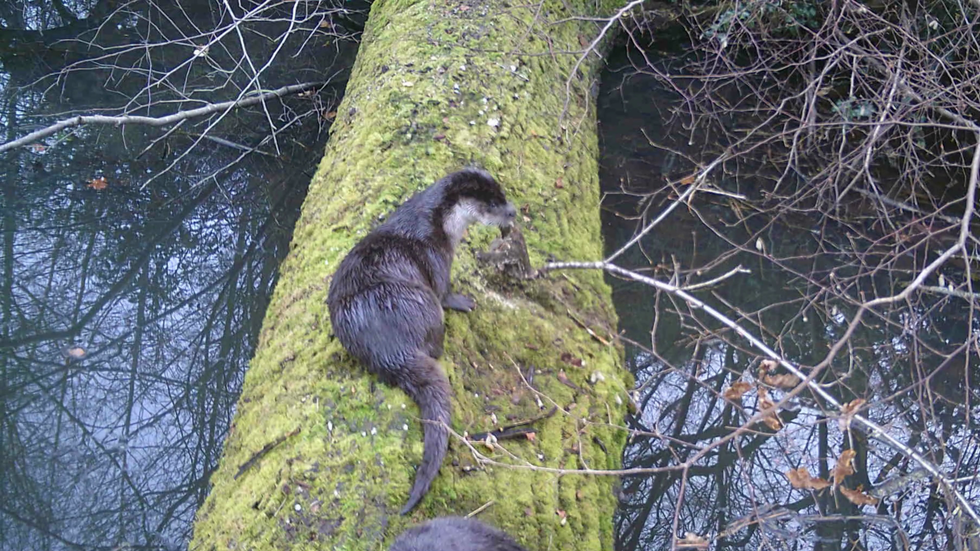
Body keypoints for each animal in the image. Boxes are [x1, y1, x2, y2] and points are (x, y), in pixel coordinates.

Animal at [327, 168, 517, 514]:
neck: (438, 225)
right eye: (492, 204)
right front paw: (463, 300)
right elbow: (444, 291)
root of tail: (389, 349)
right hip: (422, 304)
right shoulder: (436, 257)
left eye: (504, 196)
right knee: (435, 338)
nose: (513, 212)